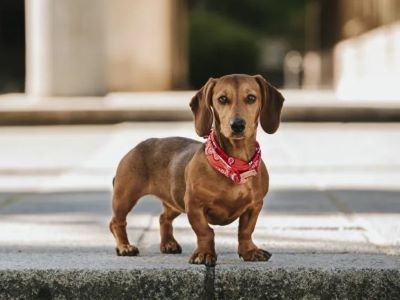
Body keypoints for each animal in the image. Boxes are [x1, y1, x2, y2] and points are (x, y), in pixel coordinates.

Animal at [109, 74, 284, 266]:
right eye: (222, 99)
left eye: (251, 98)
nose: (237, 125)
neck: (234, 165)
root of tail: (136, 147)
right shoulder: (194, 205)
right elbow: (205, 232)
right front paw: (204, 254)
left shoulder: (254, 206)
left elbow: (246, 231)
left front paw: (250, 252)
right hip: (125, 197)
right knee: (116, 222)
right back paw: (125, 247)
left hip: (175, 201)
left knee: (163, 218)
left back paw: (168, 244)